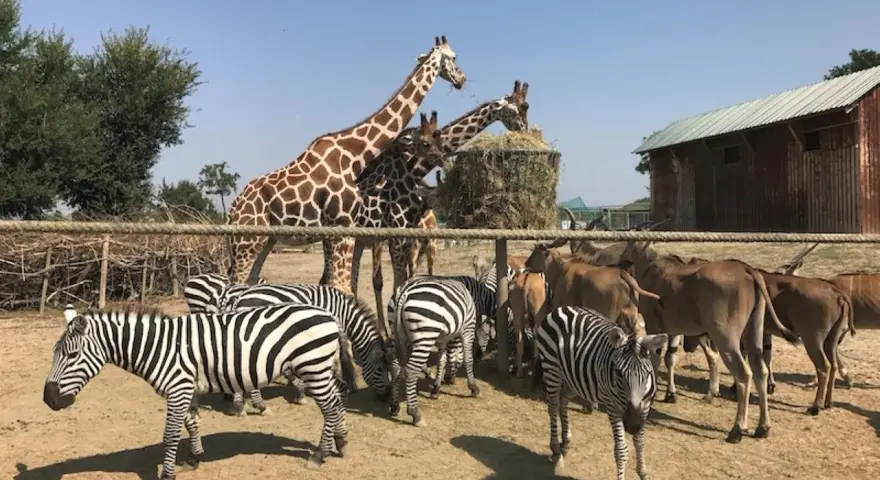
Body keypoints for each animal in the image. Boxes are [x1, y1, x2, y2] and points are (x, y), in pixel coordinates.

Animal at [225, 36, 467, 293]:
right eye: (453, 57)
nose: (461, 79)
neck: (355, 155)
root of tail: (232, 210)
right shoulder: (341, 228)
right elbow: (342, 287)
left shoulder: (340, 231)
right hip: (246, 241)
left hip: (266, 240)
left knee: (251, 280)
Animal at [351, 80, 531, 324]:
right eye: (521, 108)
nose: (525, 129)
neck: (414, 171)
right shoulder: (398, 231)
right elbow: (399, 281)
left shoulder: (408, 233)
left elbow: (406, 278)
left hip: (364, 240)